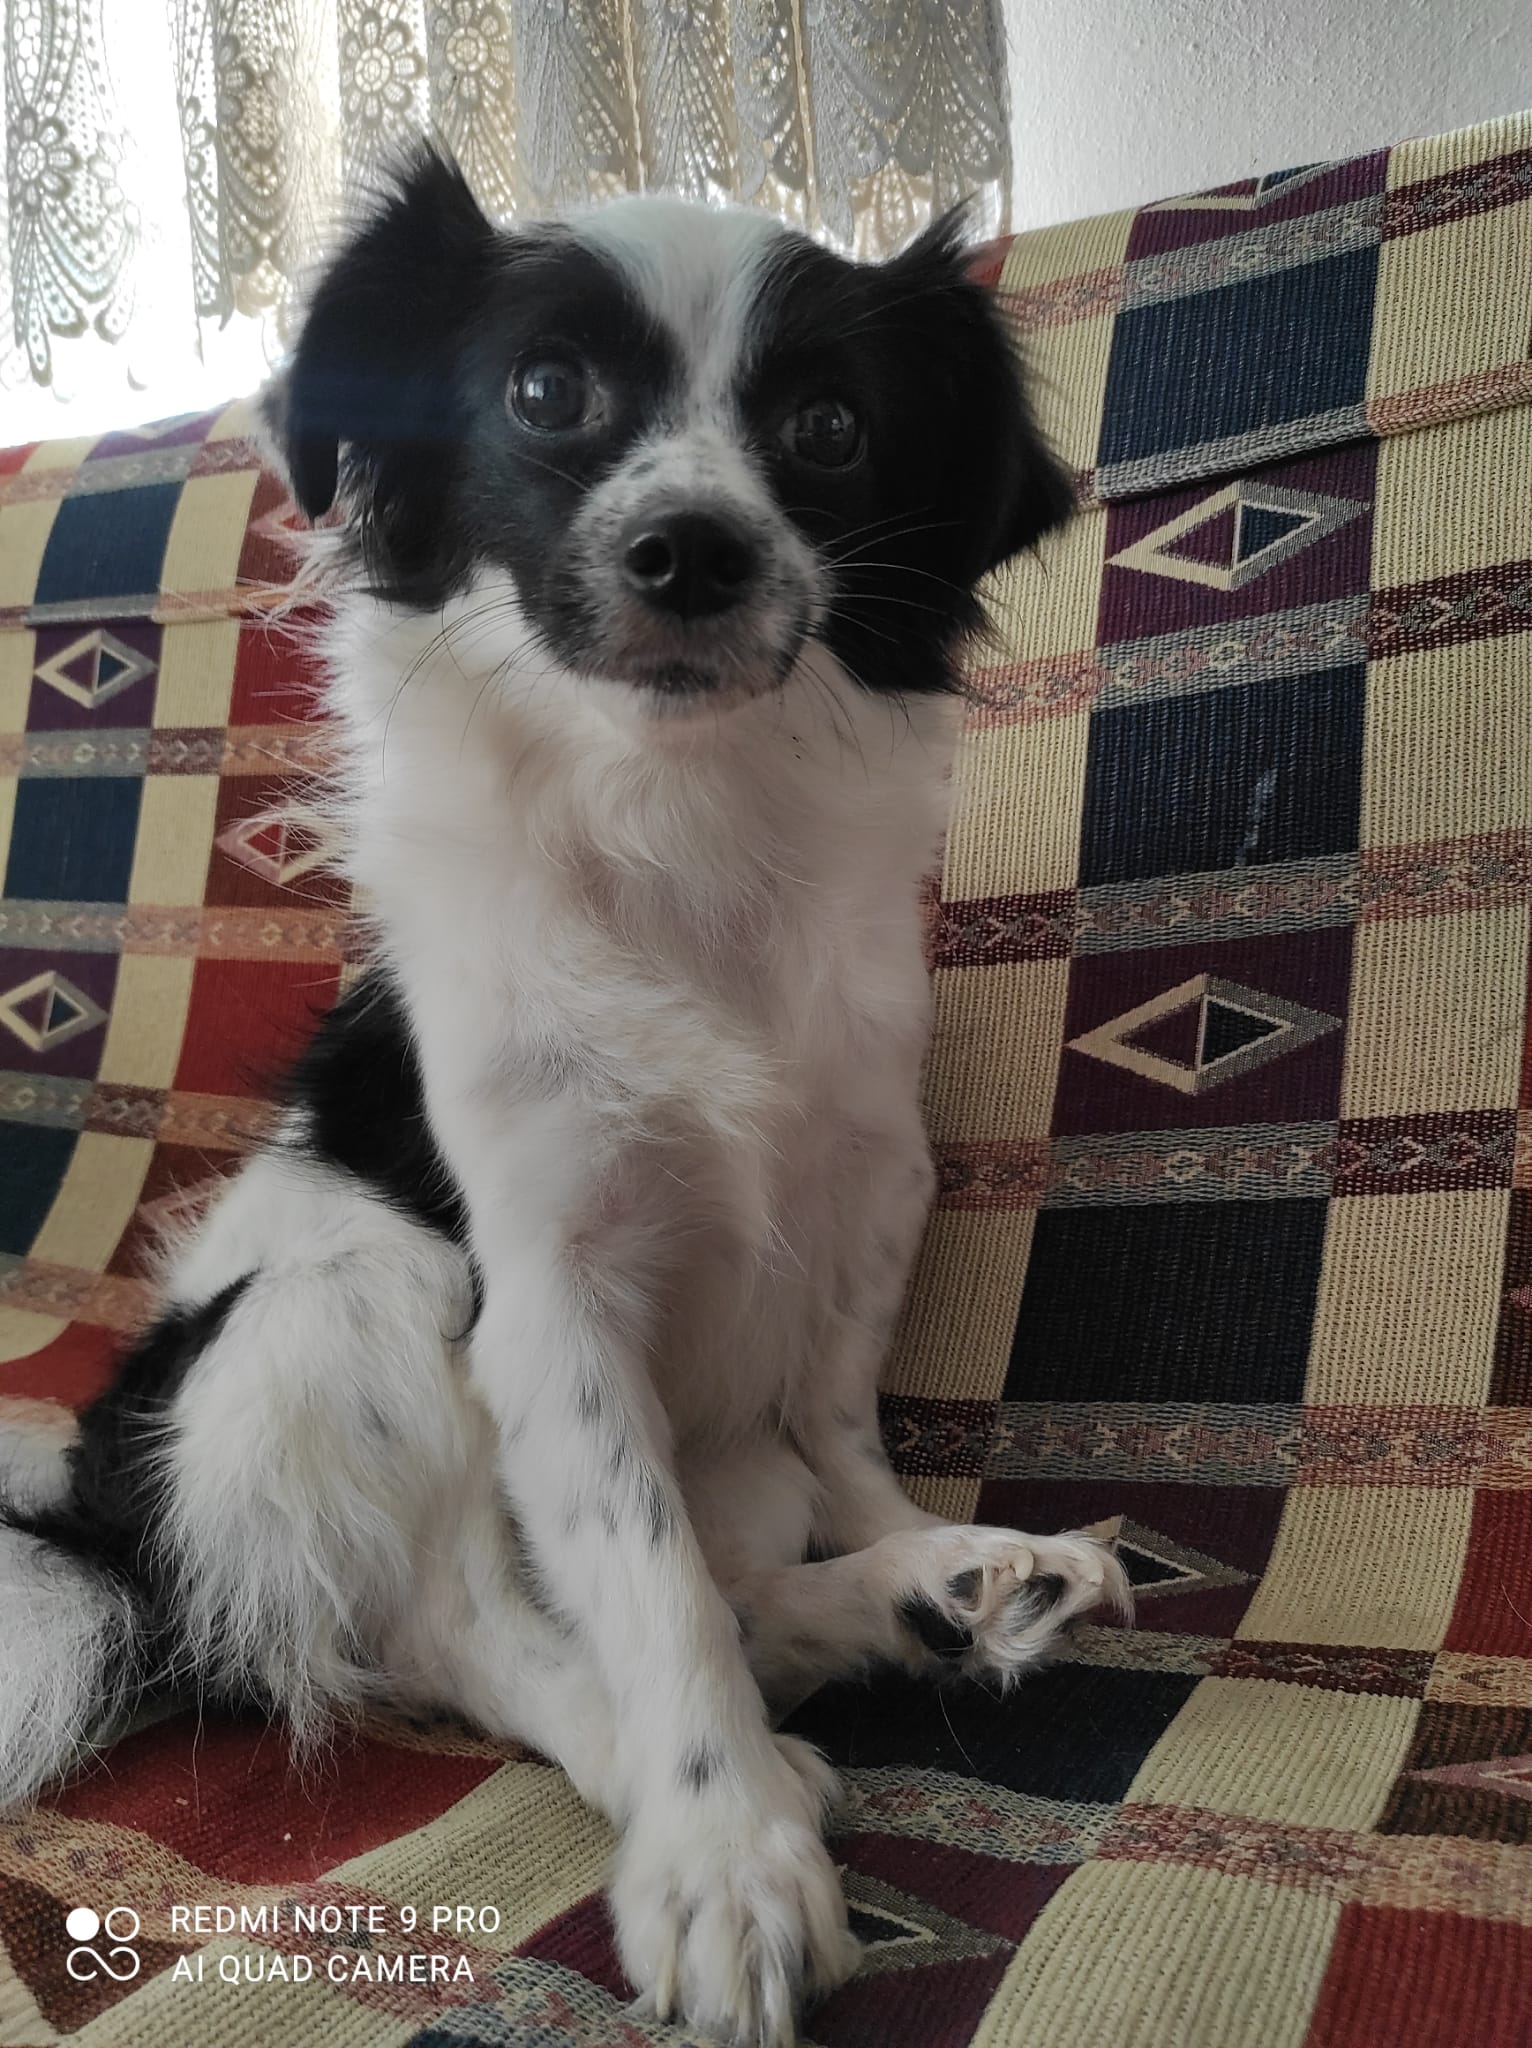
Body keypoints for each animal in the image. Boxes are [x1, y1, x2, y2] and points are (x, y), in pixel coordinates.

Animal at [0, 148, 1128, 2045]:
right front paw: (724, 1853)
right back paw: (739, 1757)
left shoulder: (867, 1180)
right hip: (354, 1300)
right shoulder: (546, 1296)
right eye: (545, 393)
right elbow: (640, 1576)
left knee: (734, 1559)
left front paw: (913, 1547)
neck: (677, 833)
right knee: (467, 1629)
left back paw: (926, 1603)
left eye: (828, 425)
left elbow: (834, 1427)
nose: (694, 548)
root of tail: (116, 1522)